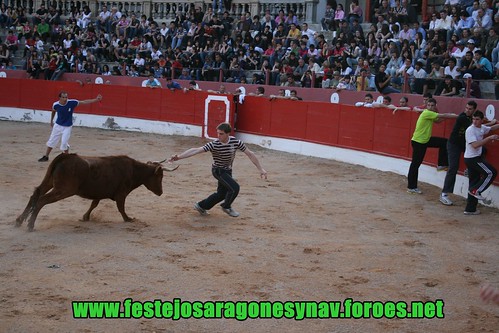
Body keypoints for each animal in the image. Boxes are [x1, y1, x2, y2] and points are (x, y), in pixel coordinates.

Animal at [16, 154, 177, 230]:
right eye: (160, 176)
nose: (161, 192)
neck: (134, 170)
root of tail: (66, 156)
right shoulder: (122, 194)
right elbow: (121, 207)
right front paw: (128, 219)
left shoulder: (98, 193)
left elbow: (94, 204)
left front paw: (85, 217)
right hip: (64, 190)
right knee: (42, 200)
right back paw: (30, 226)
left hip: (49, 182)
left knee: (36, 194)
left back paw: (19, 221)